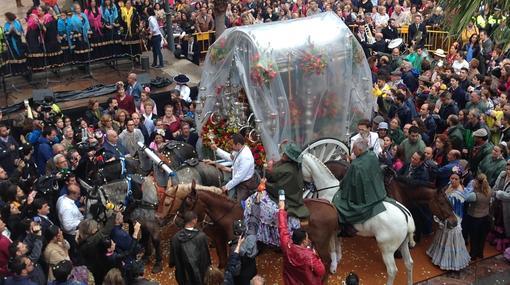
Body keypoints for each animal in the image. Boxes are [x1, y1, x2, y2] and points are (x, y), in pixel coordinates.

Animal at [158, 180, 342, 276]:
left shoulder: (231, 242)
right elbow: (222, 260)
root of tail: (330, 206)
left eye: (188, 203)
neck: (229, 214)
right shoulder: (221, 240)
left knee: (326, 262)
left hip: (321, 243)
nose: (178, 221)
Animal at [300, 152, 416, 284]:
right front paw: (339, 258)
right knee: (409, 263)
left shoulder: (331, 231)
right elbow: (338, 243)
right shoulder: (337, 230)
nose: (303, 186)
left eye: (300, 165)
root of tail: (406, 215)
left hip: (387, 249)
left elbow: (333, 246)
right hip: (403, 244)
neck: (330, 189)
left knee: (392, 270)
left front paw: (333, 265)